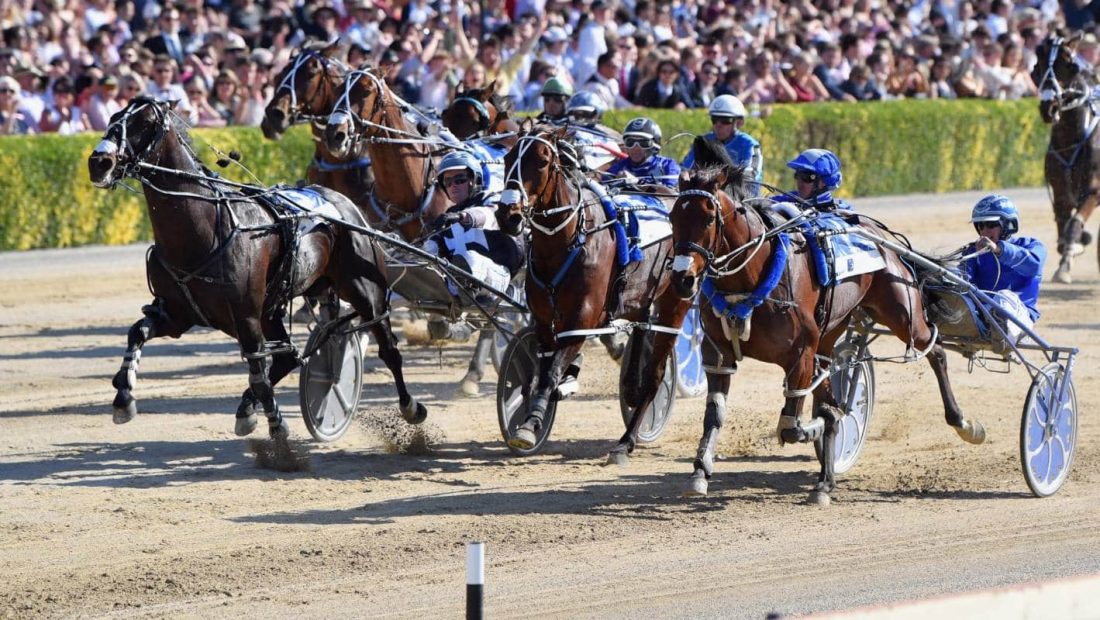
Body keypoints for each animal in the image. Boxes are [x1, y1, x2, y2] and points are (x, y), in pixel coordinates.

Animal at [88, 97, 424, 439]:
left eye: (145, 123)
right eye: (113, 118)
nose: (99, 161)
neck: (202, 229)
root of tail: (345, 205)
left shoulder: (246, 316)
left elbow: (258, 373)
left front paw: (277, 425)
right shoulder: (177, 313)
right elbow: (137, 332)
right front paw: (123, 396)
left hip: (364, 289)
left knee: (388, 347)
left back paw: (410, 406)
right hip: (271, 309)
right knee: (287, 358)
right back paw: (247, 406)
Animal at [497, 125, 686, 452]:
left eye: (542, 161)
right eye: (509, 158)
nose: (508, 215)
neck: (565, 242)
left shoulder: (583, 317)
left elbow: (551, 372)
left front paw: (530, 425)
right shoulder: (545, 319)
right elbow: (542, 368)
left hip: (676, 300)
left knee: (656, 372)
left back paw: (627, 440)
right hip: (640, 299)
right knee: (641, 330)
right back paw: (631, 390)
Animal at [668, 139, 990, 503]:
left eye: (709, 218)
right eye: (673, 216)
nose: (682, 278)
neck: (752, 278)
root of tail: (879, 234)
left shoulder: (799, 356)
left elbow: (793, 426)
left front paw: (820, 427)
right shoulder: (719, 355)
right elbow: (716, 413)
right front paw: (700, 471)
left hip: (902, 313)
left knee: (935, 351)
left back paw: (965, 424)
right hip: (830, 335)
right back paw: (825, 481)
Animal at [1029, 33, 1100, 283]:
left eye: (1070, 65)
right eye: (1036, 67)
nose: (1049, 107)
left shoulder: (1094, 190)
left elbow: (1073, 225)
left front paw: (1065, 266)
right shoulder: (1060, 190)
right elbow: (1063, 224)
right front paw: (1075, 246)